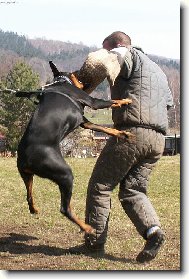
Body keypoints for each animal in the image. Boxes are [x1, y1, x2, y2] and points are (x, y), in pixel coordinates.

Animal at [16, 61, 132, 236]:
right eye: (75, 72)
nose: (81, 71)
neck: (61, 82)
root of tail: (26, 158)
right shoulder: (92, 101)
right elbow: (112, 101)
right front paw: (126, 100)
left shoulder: (85, 123)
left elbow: (105, 129)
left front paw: (122, 133)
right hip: (65, 174)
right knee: (65, 209)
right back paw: (87, 228)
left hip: (26, 175)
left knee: (28, 196)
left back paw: (34, 209)